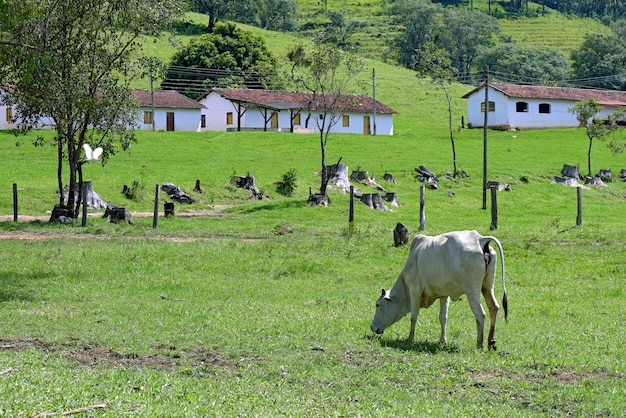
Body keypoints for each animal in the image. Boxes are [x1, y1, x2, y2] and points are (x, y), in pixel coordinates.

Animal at [370, 230, 508, 352]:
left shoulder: (414, 290)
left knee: (480, 314)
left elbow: (414, 316)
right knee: (493, 307)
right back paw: (491, 342)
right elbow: (443, 318)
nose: (372, 327)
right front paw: (443, 340)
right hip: (487, 287)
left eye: (378, 305)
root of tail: (480, 239)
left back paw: (479, 345)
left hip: (471, 291)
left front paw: (410, 338)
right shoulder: (444, 294)